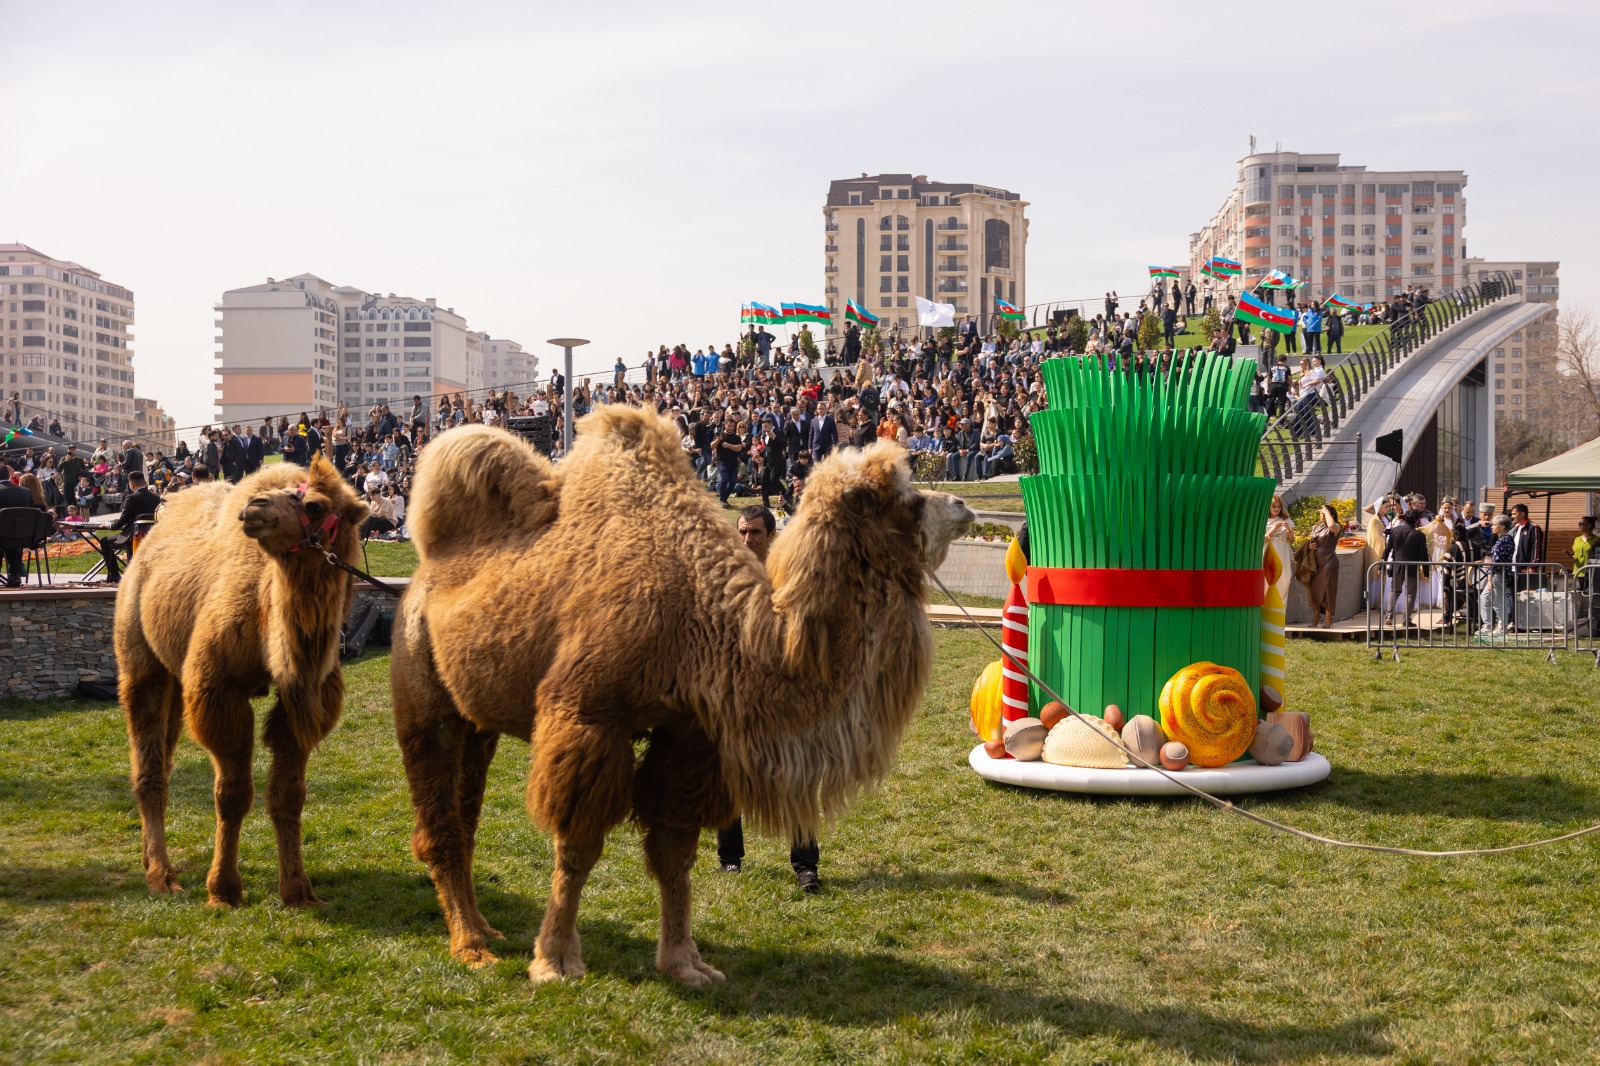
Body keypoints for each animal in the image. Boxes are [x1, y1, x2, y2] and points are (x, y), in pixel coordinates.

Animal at [116, 451, 371, 909]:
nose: (255, 509)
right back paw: (162, 876)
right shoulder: (218, 687)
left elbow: (289, 794)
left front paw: (298, 890)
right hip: (138, 653)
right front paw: (223, 890)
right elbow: (233, 794)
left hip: (175, 677)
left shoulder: (301, 699)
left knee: (162, 756)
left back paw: (151, 863)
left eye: (314, 506)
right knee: (149, 764)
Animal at [396, 404, 972, 979]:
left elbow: (674, 850)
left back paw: (485, 927)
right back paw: (471, 945)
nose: (963, 505)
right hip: (422, 690)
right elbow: (578, 846)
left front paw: (684, 963)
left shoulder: (690, 733)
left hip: (478, 724)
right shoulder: (588, 715)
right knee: (439, 818)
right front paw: (556, 960)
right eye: (902, 500)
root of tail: (424, 573)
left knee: (466, 814)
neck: (708, 620)